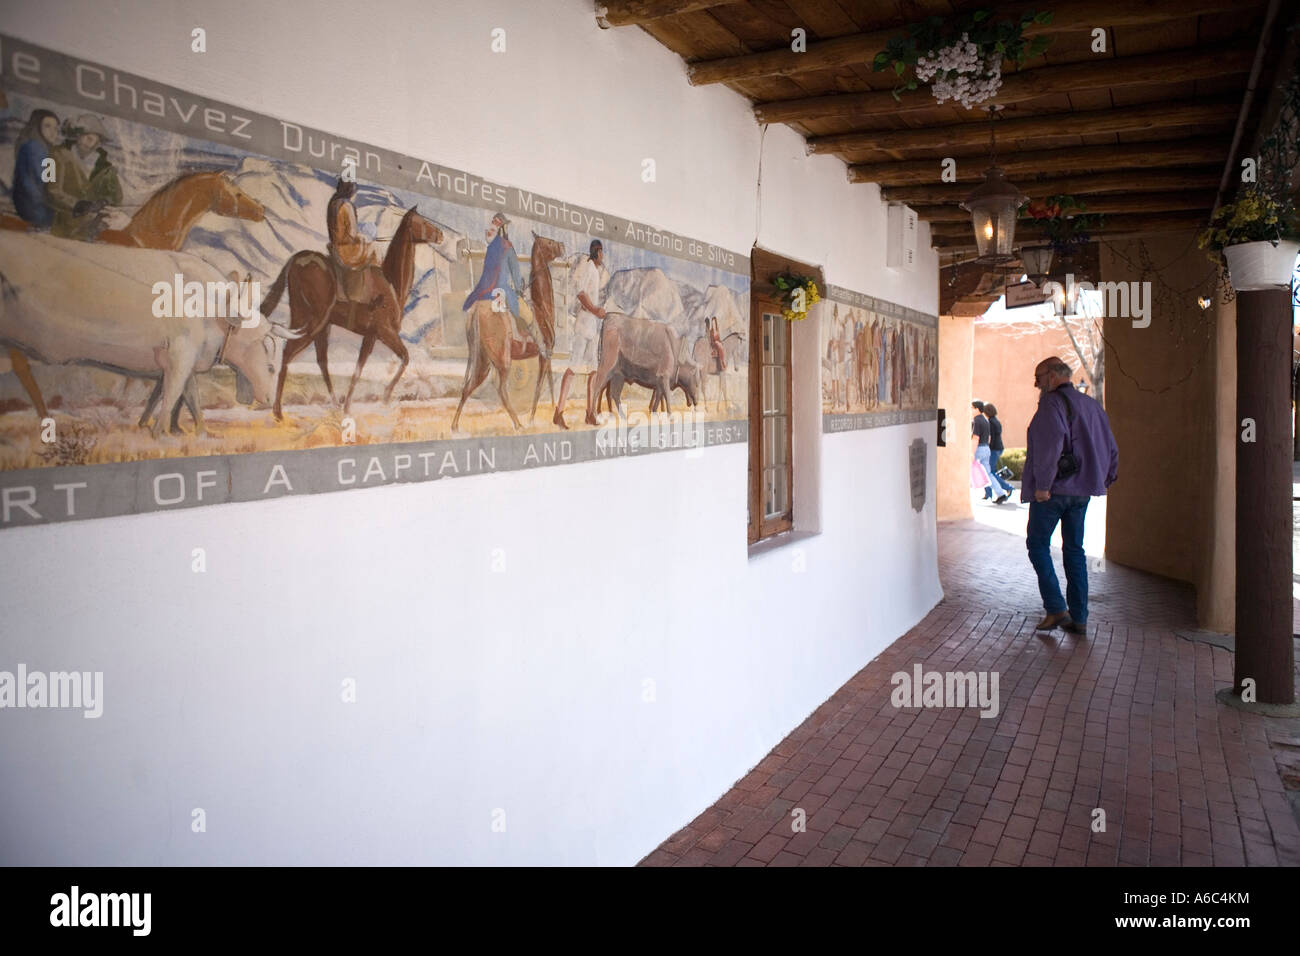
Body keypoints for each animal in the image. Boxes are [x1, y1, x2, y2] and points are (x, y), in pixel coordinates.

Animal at [449, 230, 561, 431]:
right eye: (548, 242)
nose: (562, 246)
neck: (542, 307)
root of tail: (476, 310)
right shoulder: (545, 354)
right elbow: (540, 386)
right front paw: (533, 419)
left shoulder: (546, 356)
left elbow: (547, 382)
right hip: (502, 360)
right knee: (501, 389)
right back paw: (518, 424)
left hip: (483, 360)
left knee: (469, 386)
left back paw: (454, 426)